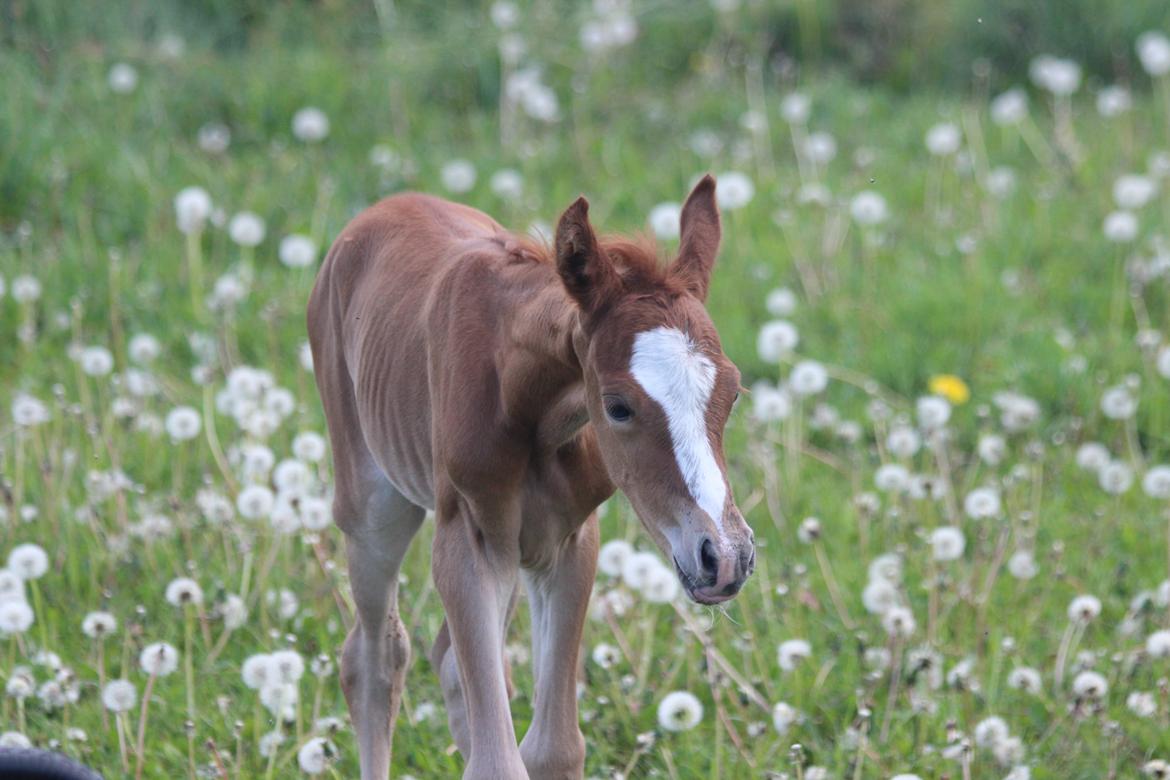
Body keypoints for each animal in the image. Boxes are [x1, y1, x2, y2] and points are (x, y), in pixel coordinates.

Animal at [306, 176, 753, 780]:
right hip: (374, 506)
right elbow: (499, 760)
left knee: (448, 661)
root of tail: (384, 207)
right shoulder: (467, 540)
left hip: (516, 545)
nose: (724, 557)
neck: (532, 406)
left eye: (733, 392)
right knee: (374, 658)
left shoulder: (567, 542)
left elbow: (552, 748)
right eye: (617, 407)